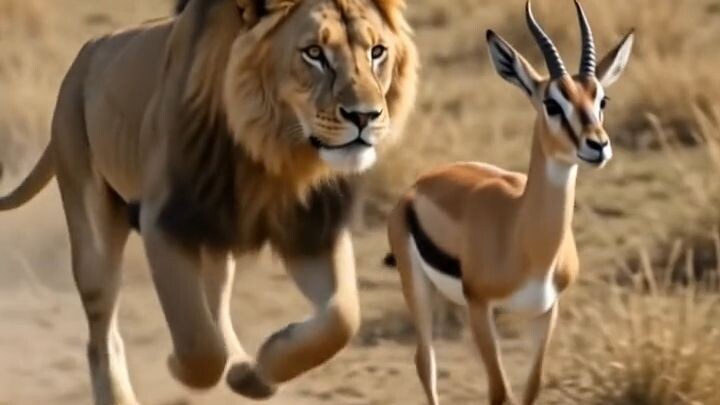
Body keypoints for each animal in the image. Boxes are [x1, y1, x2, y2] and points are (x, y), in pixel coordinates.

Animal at [0, 0, 418, 403]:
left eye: (377, 52)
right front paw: (179, 365)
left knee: (216, 296)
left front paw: (263, 366)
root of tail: (84, 56)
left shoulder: (312, 229)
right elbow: (198, 343)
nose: (365, 116)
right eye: (314, 53)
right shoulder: (163, 223)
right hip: (91, 220)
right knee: (102, 329)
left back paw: (243, 368)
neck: (270, 152)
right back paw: (119, 394)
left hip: (216, 235)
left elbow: (342, 319)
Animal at [384, 1, 634, 404]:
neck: (525, 240)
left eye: (602, 99)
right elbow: (500, 392)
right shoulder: (480, 306)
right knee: (426, 363)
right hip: (417, 288)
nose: (597, 145)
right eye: (552, 103)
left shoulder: (545, 311)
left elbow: (532, 387)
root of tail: (419, 184)